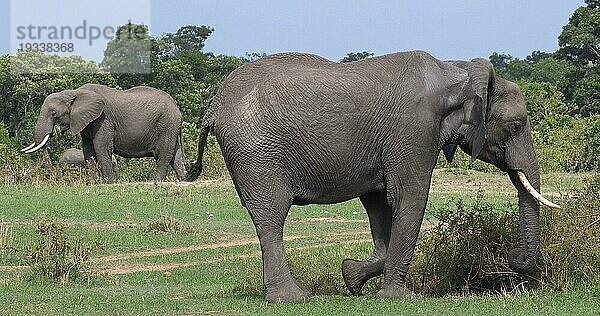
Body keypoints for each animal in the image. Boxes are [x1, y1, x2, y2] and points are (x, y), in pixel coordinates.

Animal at [21, 84, 185, 183]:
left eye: (53, 113)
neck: (75, 92)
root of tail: (177, 109)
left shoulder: (103, 119)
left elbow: (101, 148)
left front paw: (110, 183)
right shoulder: (88, 122)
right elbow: (88, 151)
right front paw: (95, 183)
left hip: (166, 125)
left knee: (163, 155)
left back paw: (158, 181)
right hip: (170, 128)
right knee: (175, 157)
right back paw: (184, 179)